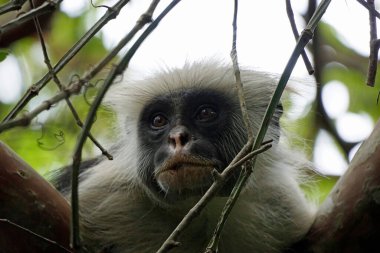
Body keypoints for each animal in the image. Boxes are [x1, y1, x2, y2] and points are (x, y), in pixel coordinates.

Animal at [52, 61, 314, 253]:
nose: (178, 138)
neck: (196, 208)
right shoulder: (102, 194)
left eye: (205, 113)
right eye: (159, 120)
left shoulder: (282, 205)